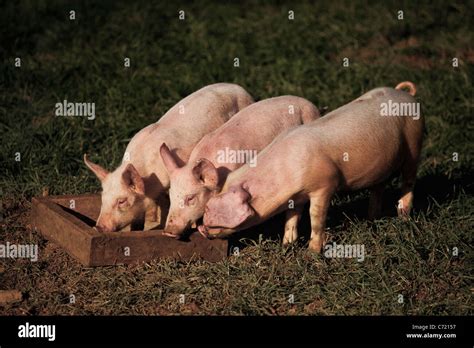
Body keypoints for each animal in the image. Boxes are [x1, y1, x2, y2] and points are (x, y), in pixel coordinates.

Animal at [199, 81, 422, 251]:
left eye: (209, 207)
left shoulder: (325, 184)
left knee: (409, 180)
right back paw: (371, 218)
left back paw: (403, 216)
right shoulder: (295, 197)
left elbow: (315, 218)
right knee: (378, 187)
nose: (200, 228)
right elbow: (291, 218)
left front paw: (312, 253)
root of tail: (405, 94)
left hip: (414, 140)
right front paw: (287, 245)